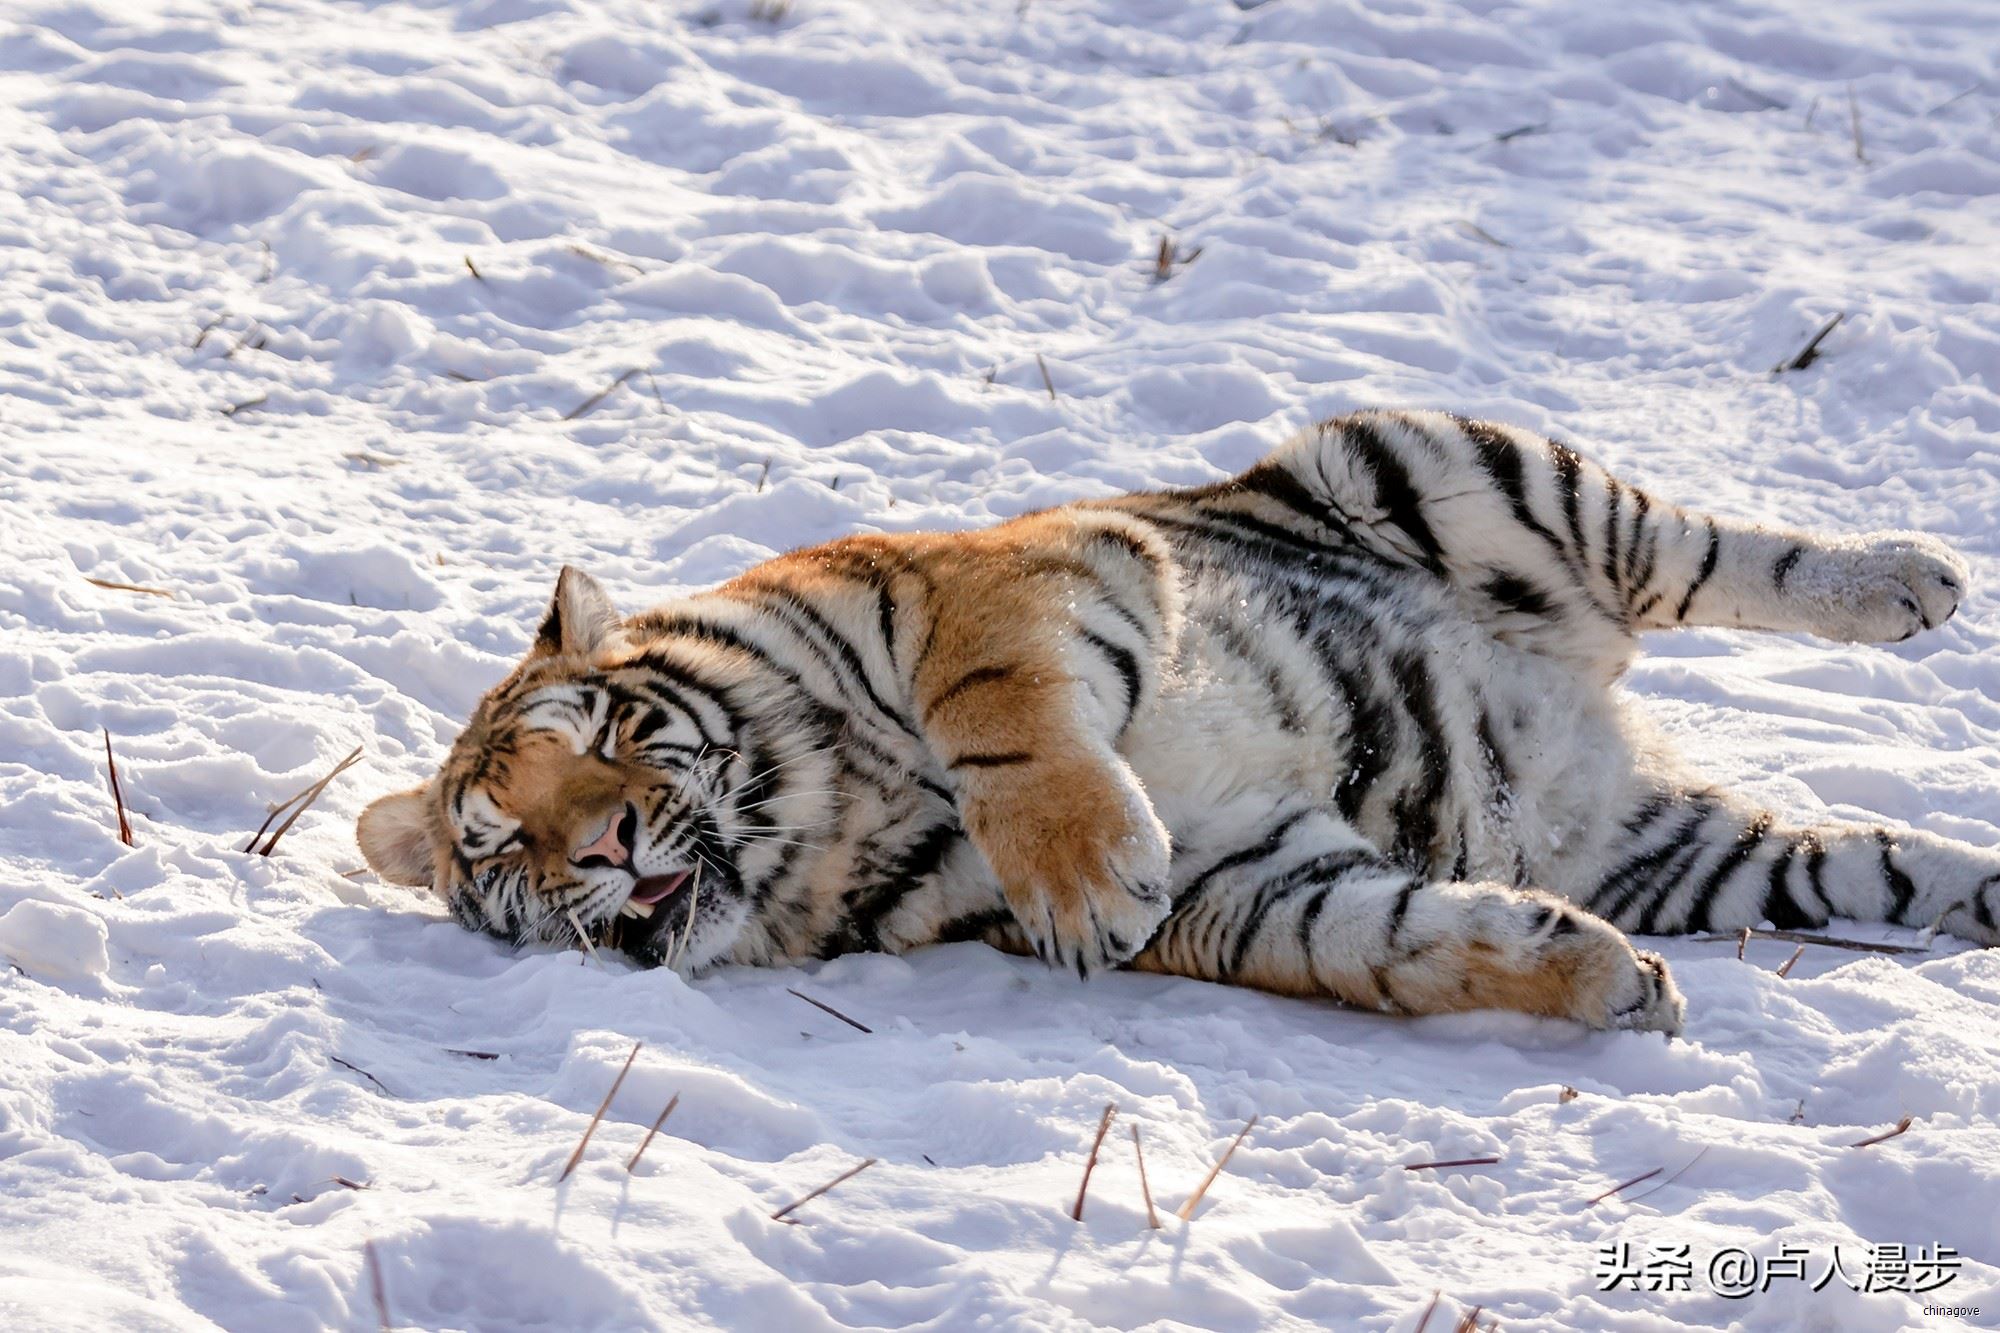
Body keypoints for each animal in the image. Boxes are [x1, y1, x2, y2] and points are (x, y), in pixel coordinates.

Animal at [360, 410, 2000, 1032]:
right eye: (502, 845)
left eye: (605, 744)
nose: (605, 850)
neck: (826, 823)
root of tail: (1585, 721)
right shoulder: (1252, 880)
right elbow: (1397, 942)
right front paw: (1598, 983)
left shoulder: (1003, 583)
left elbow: (1004, 716)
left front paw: (1088, 875)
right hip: (1677, 855)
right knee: (1873, 866)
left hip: (1443, 466)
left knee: (1709, 555)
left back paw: (1907, 577)